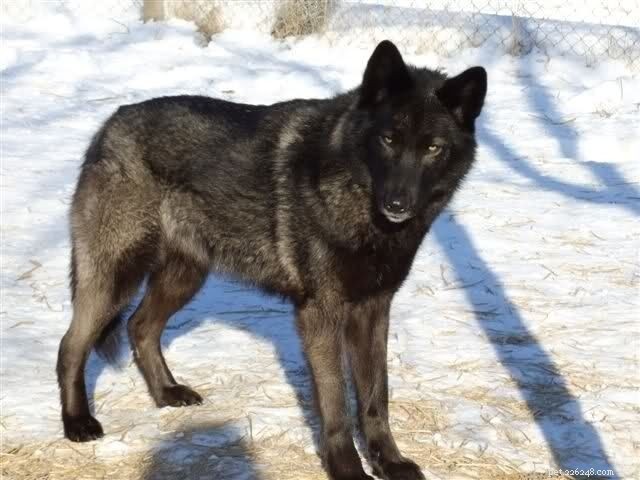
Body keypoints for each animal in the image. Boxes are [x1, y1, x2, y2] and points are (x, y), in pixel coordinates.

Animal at [57, 40, 486, 480]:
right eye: (387, 139)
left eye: (433, 148)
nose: (398, 204)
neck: (358, 202)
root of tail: (110, 123)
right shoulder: (320, 315)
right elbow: (335, 404)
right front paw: (347, 469)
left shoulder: (373, 311)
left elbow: (375, 398)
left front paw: (389, 462)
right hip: (117, 277)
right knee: (71, 346)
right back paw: (78, 423)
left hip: (184, 277)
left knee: (140, 327)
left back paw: (166, 393)